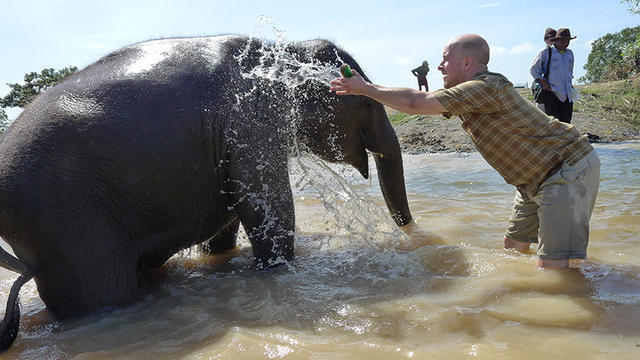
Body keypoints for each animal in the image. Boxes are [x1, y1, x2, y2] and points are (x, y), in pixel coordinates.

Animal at [0, 34, 410, 352]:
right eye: (368, 102)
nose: (409, 232)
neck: (281, 49)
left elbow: (229, 218)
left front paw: (220, 258)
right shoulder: (250, 123)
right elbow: (268, 207)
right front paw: (276, 269)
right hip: (63, 222)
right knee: (105, 293)